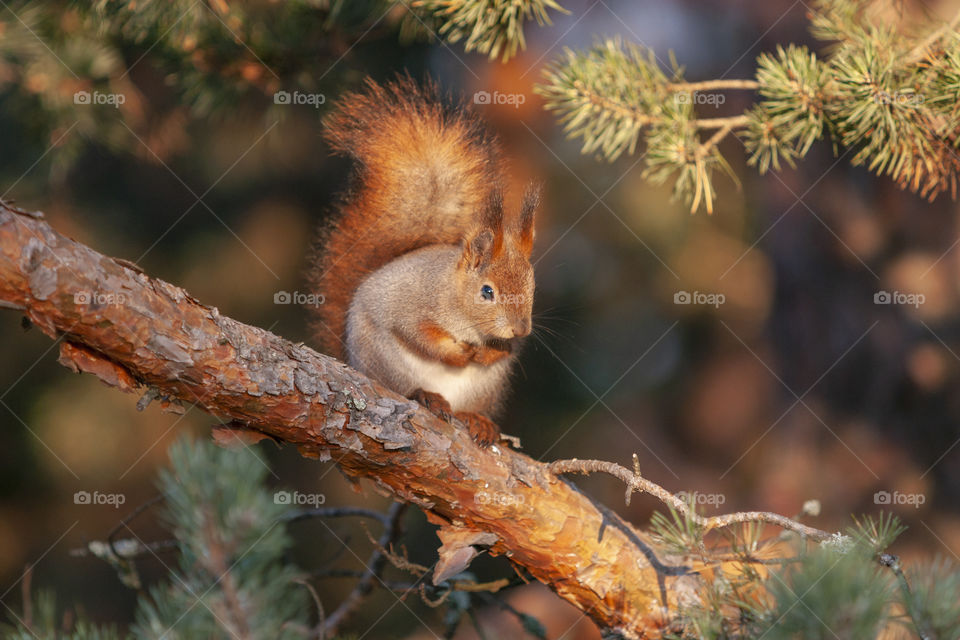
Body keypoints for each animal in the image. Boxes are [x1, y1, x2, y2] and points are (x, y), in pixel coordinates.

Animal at [304, 77, 536, 448]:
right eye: (487, 292)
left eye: (532, 287)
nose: (521, 328)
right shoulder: (410, 303)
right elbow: (417, 334)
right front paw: (459, 354)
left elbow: (505, 350)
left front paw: (487, 353)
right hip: (384, 362)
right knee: (405, 387)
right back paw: (426, 395)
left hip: (486, 386)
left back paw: (477, 420)